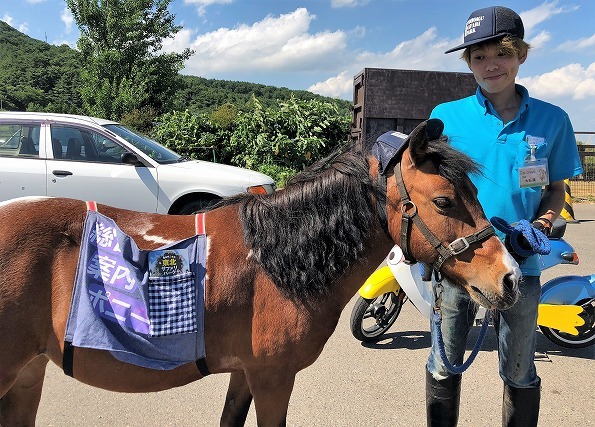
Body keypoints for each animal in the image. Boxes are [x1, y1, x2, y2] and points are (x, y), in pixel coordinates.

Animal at [0, 118, 520, 426]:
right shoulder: (272, 379)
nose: (509, 277)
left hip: (26, 375)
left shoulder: (243, 375)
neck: (274, 262)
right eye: (445, 201)